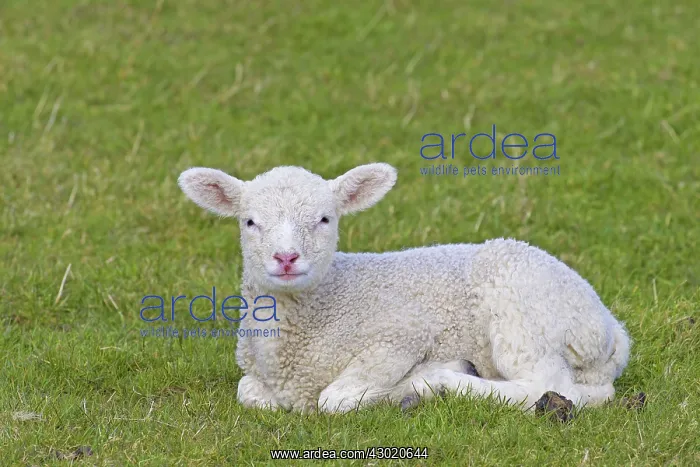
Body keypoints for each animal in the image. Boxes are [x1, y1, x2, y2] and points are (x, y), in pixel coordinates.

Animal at [177, 162, 631, 416]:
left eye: (325, 219)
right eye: (249, 222)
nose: (286, 258)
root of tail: (612, 330)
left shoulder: (402, 334)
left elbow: (333, 400)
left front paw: (411, 388)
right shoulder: (259, 375)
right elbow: (249, 393)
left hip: (523, 316)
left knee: (547, 387)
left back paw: (446, 381)